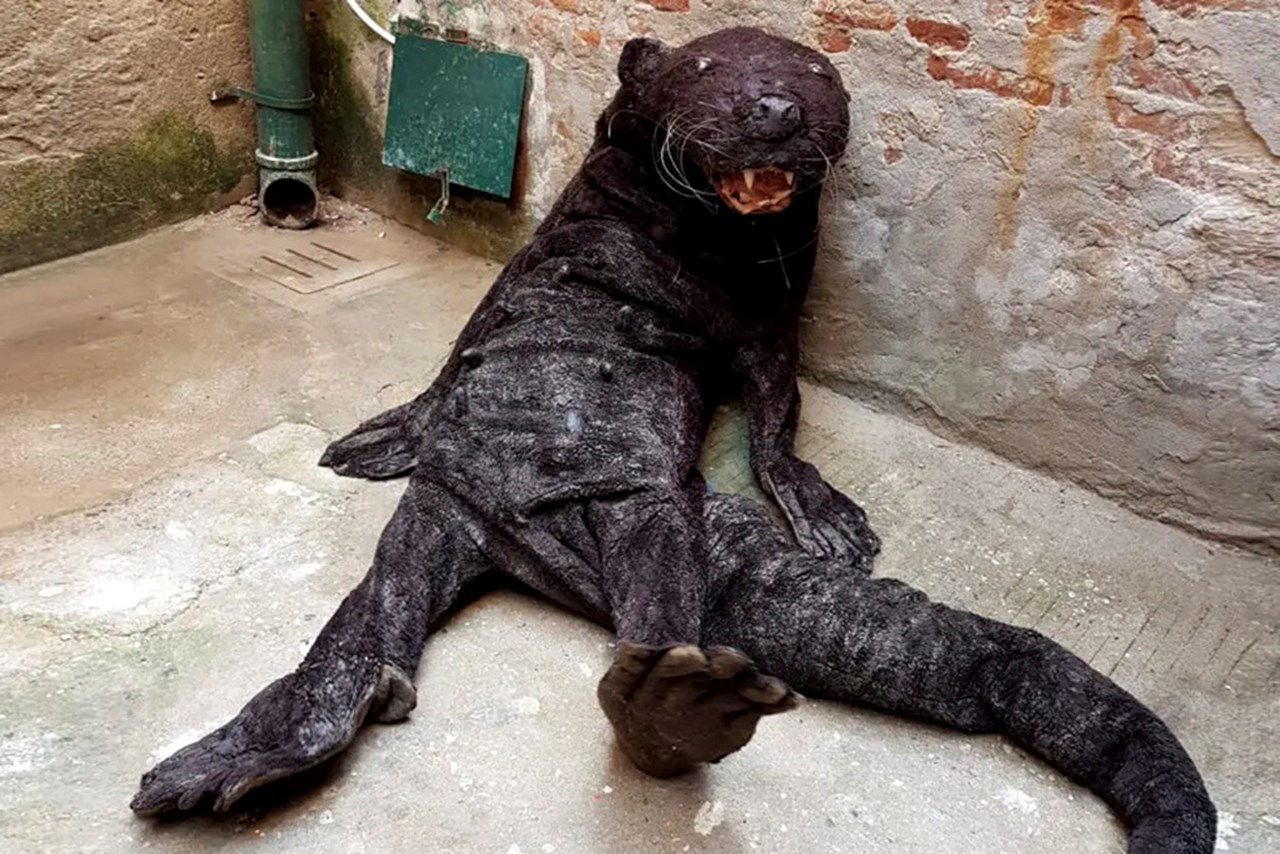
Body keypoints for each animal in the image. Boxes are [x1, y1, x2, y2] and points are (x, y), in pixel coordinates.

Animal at [130, 27, 1215, 852]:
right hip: (442, 516)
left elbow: (775, 413)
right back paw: (240, 760)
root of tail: (553, 548)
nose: (775, 106)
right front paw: (384, 429)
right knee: (364, 631)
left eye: (815, 75)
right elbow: (464, 346)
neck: (685, 228)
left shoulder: (768, 314)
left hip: (650, 513)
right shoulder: (548, 269)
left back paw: (671, 707)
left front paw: (823, 512)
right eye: (708, 66)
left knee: (632, 621)